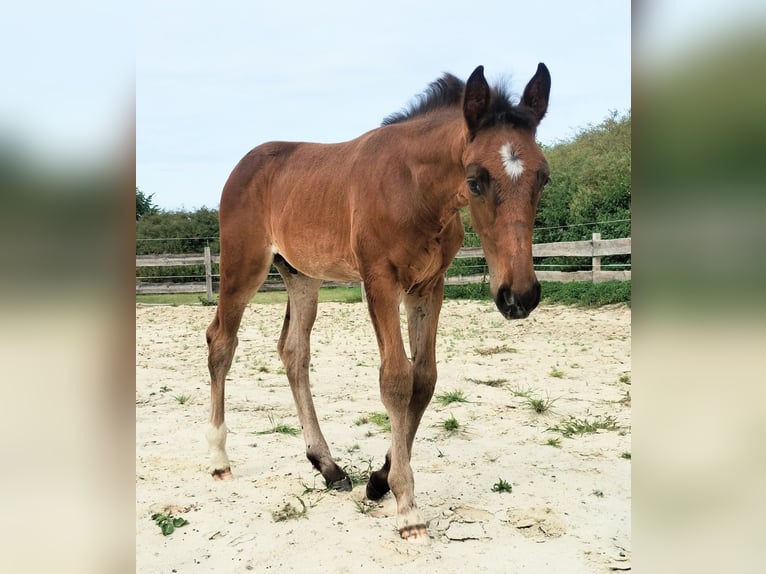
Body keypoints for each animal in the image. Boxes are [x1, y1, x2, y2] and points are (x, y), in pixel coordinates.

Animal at [205, 63, 551, 541]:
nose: (519, 296)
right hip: (244, 266)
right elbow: (396, 380)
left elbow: (424, 379)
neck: (415, 190)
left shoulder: (428, 286)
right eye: (475, 179)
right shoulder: (380, 281)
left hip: (302, 277)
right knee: (221, 341)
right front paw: (408, 509)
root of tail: (242, 166)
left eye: (544, 177)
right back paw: (219, 459)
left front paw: (380, 480)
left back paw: (327, 466)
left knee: (294, 353)